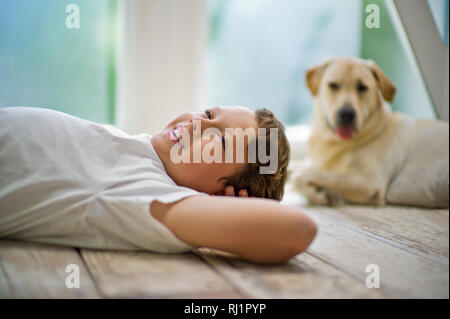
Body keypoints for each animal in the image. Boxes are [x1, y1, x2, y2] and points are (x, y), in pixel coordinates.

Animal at [294, 57, 448, 210]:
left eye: (362, 87)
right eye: (333, 85)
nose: (347, 114)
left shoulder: (369, 183)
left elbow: (298, 176)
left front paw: (322, 194)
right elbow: (300, 169)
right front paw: (321, 191)